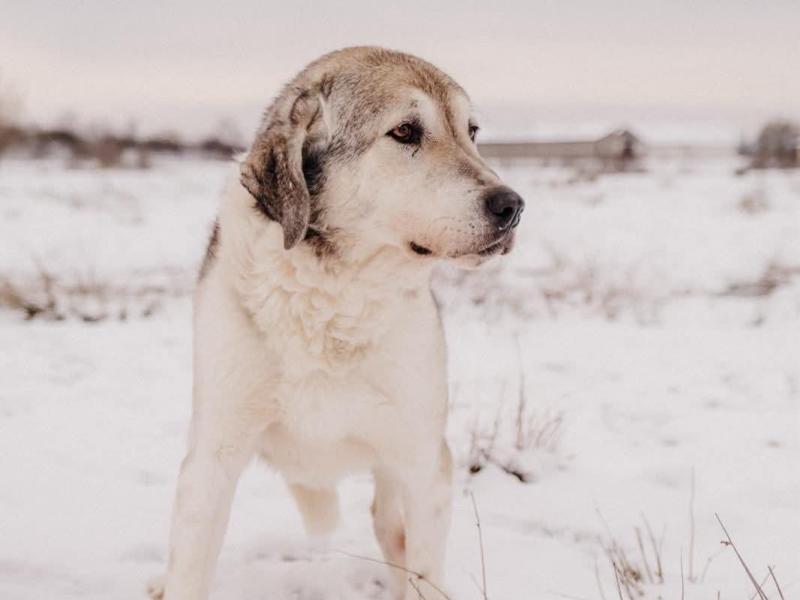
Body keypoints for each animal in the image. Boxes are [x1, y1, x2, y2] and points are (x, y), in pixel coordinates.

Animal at [151, 46, 524, 600]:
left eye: (471, 131)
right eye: (405, 131)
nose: (512, 206)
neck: (333, 294)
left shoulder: (423, 465)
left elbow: (423, 570)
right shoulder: (212, 460)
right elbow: (189, 571)